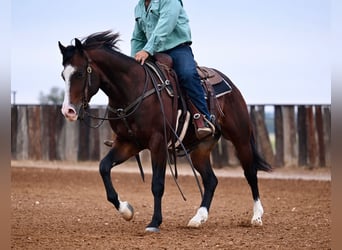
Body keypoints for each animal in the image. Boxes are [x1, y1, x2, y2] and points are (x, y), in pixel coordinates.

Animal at [59, 30, 272, 232]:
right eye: (63, 75)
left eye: (79, 73)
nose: (68, 111)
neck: (133, 89)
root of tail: (231, 85)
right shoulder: (128, 143)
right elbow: (104, 167)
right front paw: (127, 210)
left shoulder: (158, 142)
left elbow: (157, 184)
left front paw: (154, 222)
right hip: (200, 150)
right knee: (211, 180)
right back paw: (198, 218)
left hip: (241, 138)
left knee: (250, 173)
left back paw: (257, 216)